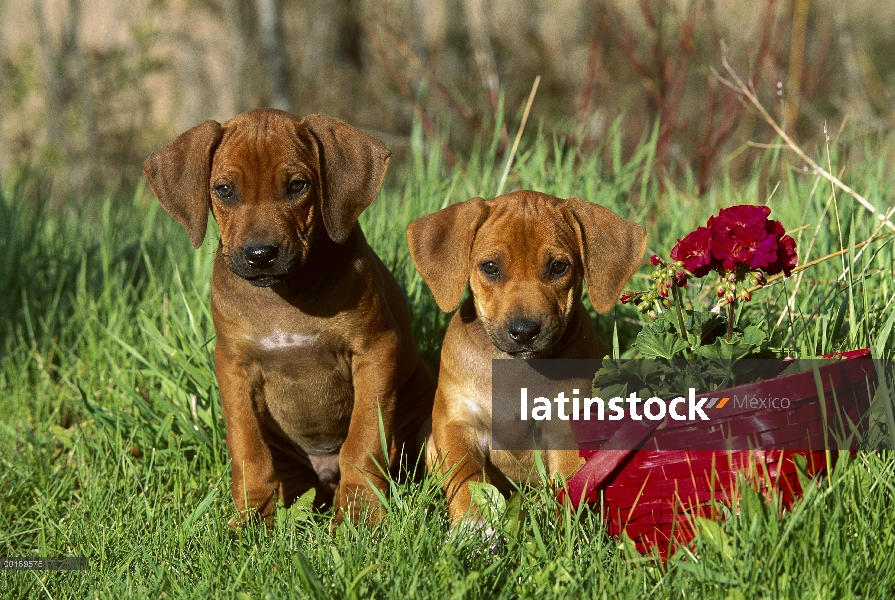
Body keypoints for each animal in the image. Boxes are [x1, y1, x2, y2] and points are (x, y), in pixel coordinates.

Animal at [144, 109, 438, 524]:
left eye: (298, 186)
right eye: (224, 190)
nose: (260, 254)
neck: (284, 297)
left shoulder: (375, 350)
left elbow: (363, 439)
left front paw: (359, 513)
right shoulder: (234, 367)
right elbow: (248, 449)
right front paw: (251, 519)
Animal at [410, 190, 648, 524]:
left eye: (558, 267)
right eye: (490, 267)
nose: (524, 331)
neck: (515, 367)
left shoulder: (566, 430)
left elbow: (570, 482)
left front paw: (564, 529)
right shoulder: (456, 423)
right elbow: (466, 477)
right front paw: (473, 523)